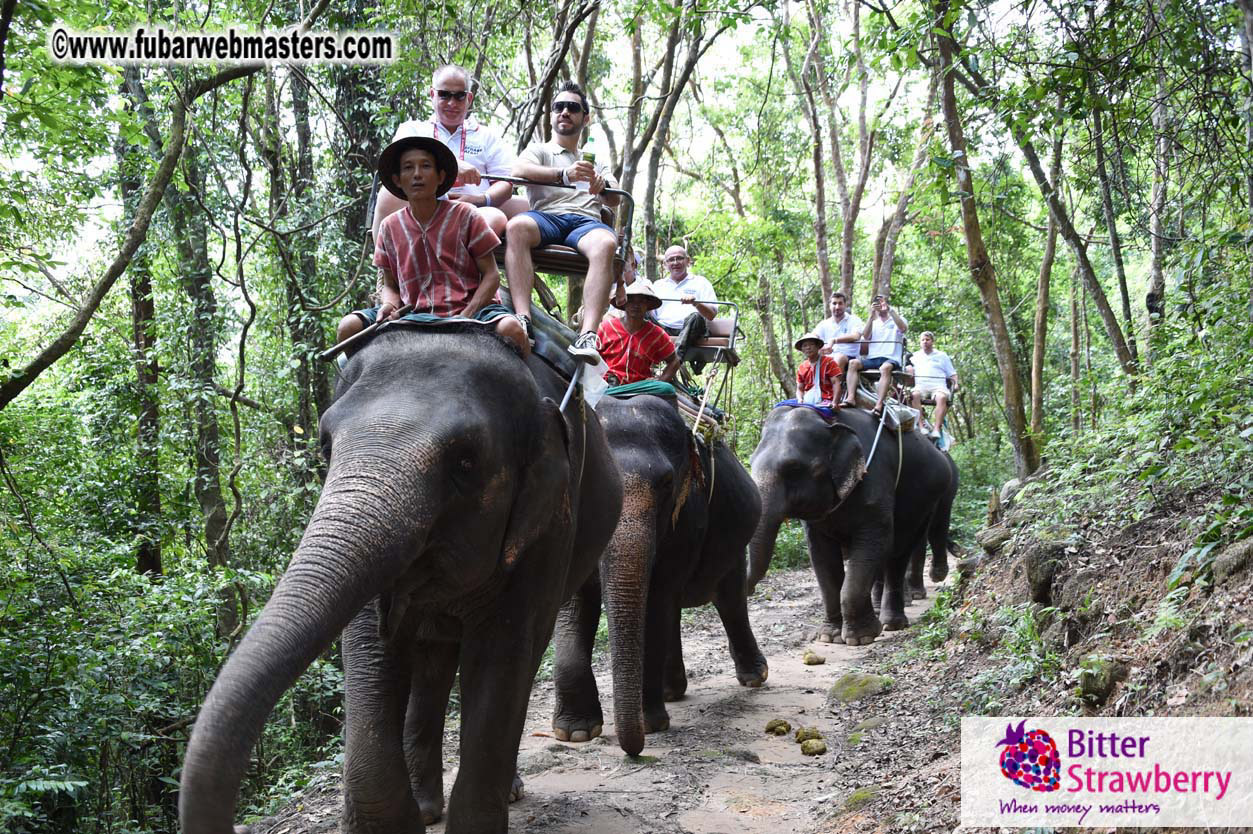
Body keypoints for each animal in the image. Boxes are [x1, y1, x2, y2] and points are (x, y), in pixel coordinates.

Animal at [178, 327, 623, 834]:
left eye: (465, 463)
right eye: (325, 446)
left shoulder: (549, 525)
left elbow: (503, 651)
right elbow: (371, 643)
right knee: (433, 656)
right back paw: (428, 807)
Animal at [549, 394, 767, 756]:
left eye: (666, 484)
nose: (632, 749)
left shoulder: (688, 518)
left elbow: (655, 601)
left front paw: (650, 725)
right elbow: (573, 604)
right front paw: (576, 732)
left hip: (733, 541)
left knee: (729, 599)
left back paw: (754, 677)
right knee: (676, 609)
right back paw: (672, 691)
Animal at [746, 405, 953, 645]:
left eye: (794, 468)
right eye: (750, 461)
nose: (749, 590)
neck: (829, 422)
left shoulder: (875, 481)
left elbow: (874, 544)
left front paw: (861, 638)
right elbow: (822, 557)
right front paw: (830, 636)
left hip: (927, 501)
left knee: (900, 552)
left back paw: (893, 622)